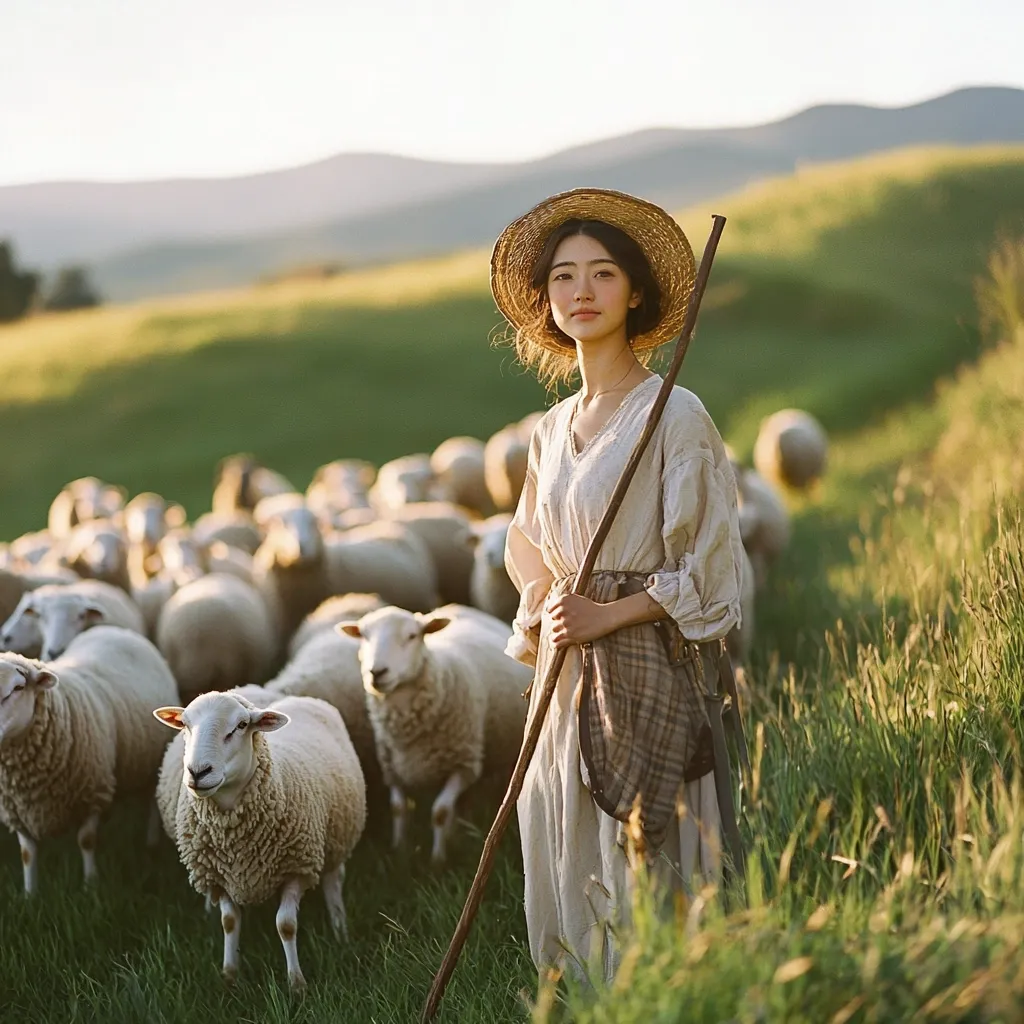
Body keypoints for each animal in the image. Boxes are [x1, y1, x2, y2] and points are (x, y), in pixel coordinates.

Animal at [0, 626, 178, 895]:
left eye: (18, 688)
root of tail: (115, 630)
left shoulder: (93, 790)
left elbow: (87, 840)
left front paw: (90, 885)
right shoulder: (16, 808)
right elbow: (27, 853)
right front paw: (30, 894)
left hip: (156, 756)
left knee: (152, 800)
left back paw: (151, 842)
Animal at [153, 691, 366, 991]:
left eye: (241, 725)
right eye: (184, 724)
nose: (198, 771)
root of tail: (300, 697)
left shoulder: (296, 869)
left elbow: (285, 925)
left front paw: (296, 983)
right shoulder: (218, 876)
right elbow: (230, 922)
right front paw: (229, 975)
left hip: (336, 840)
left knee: (333, 883)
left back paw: (340, 931)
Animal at [338, 604, 531, 864]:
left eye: (411, 636)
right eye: (364, 636)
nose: (377, 672)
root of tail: (456, 607)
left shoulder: (463, 766)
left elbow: (440, 811)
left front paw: (438, 859)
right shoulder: (391, 768)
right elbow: (398, 808)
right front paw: (400, 850)